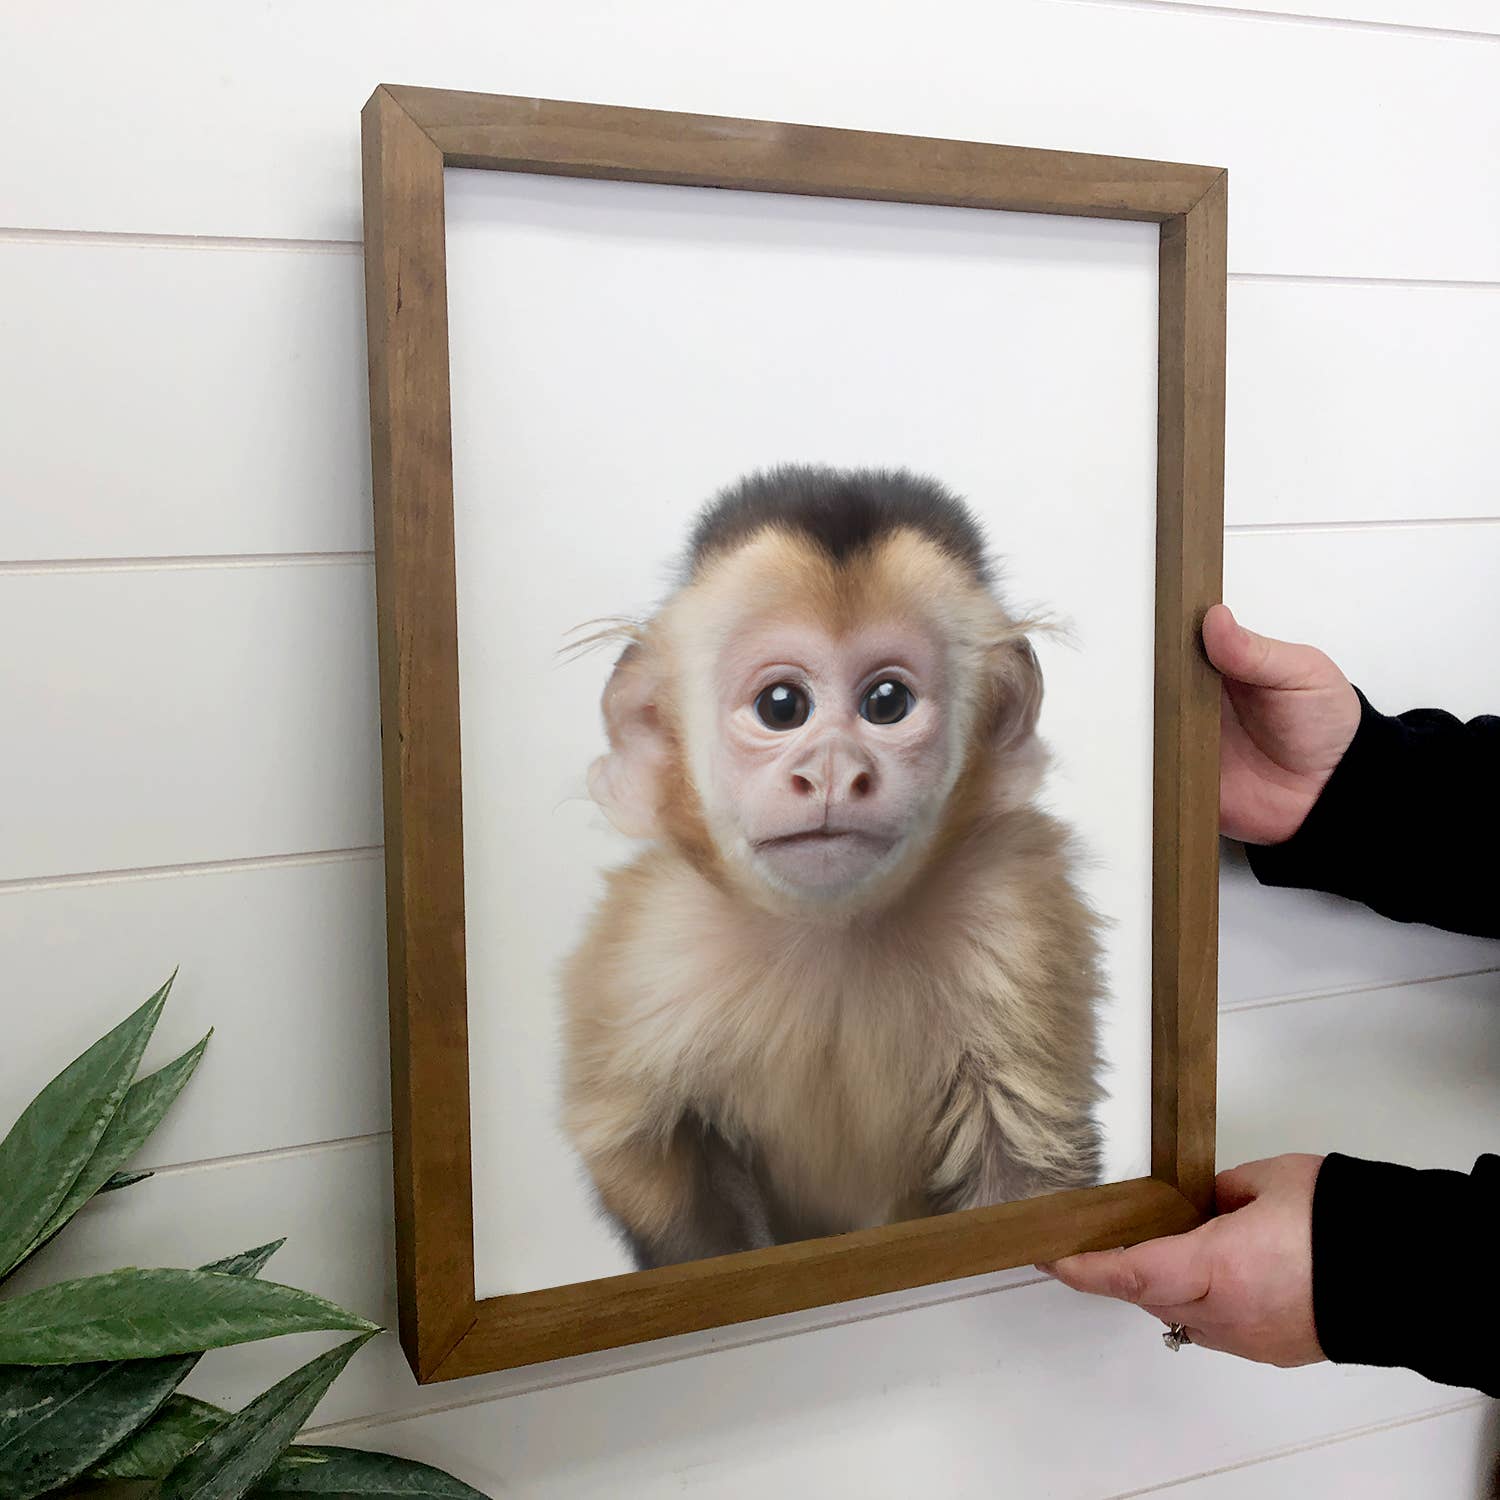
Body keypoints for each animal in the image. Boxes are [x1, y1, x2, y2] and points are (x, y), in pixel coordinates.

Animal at [559, 464, 1105, 1271]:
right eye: (782, 706)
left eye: (887, 702)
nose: (832, 772)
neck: (830, 931)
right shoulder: (649, 950)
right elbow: (655, 1167)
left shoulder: (1015, 915)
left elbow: (1024, 1170)